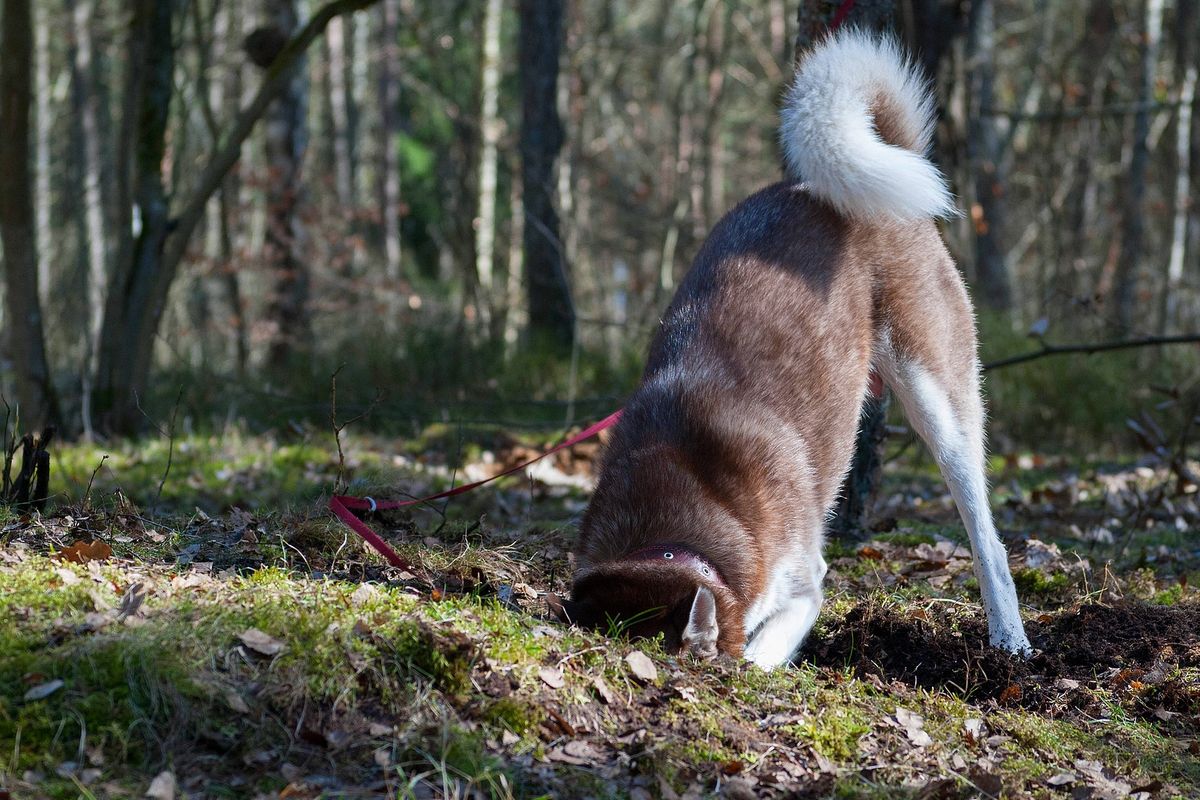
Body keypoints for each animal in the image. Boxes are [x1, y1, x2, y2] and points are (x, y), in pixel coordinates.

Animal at [554, 31, 1032, 671]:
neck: (669, 534)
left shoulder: (804, 578)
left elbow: (763, 647)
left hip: (940, 405)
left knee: (990, 544)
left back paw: (1011, 642)